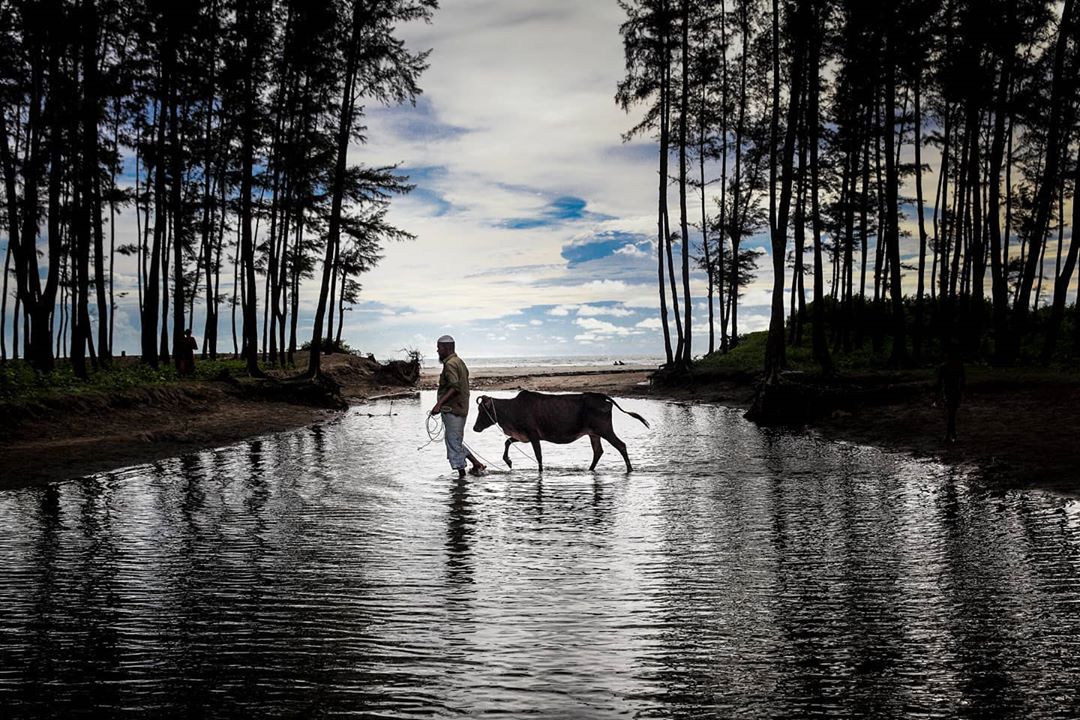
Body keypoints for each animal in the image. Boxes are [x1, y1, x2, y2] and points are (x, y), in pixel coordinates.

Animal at [473, 395, 648, 472]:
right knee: (598, 451)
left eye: (482, 410)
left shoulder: (533, 434)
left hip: (604, 429)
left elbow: (539, 456)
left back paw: (630, 470)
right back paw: (589, 469)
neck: (511, 410)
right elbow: (507, 442)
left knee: (621, 445)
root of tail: (602, 397)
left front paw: (540, 471)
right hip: (593, 433)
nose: (475, 428)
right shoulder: (523, 436)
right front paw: (508, 461)